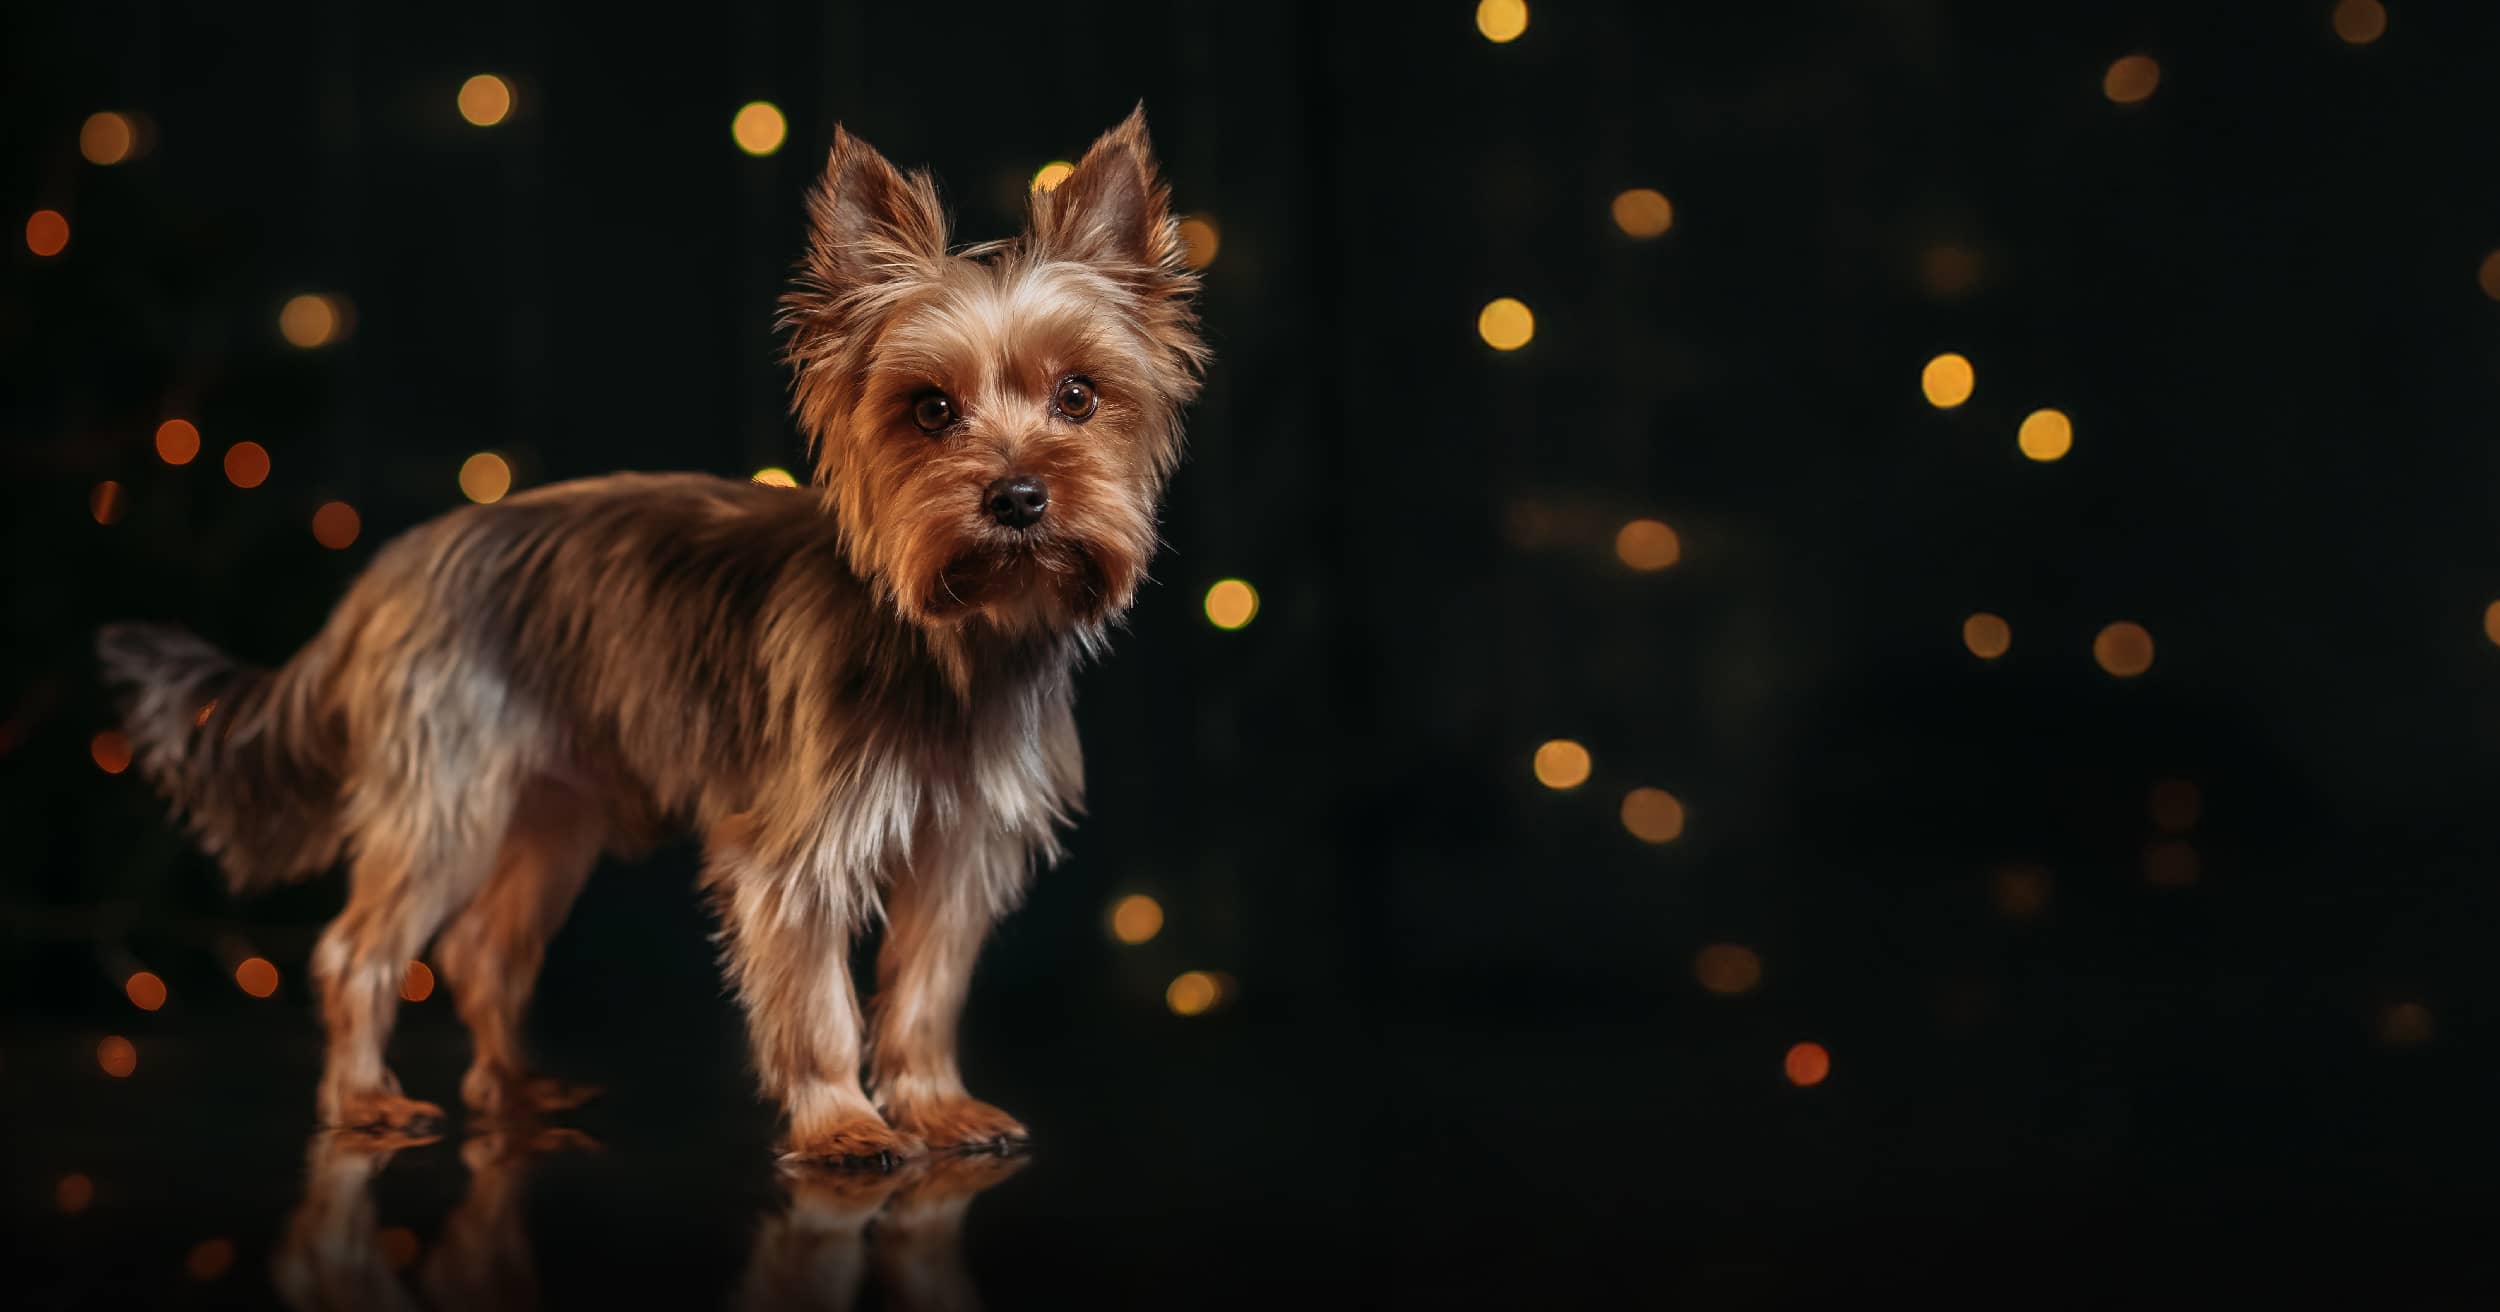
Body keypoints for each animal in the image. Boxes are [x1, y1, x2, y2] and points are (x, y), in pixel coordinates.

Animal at [102, 107, 1215, 1159]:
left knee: (482, 950)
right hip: (446, 794)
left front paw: (935, 1107)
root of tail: (387, 571)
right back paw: (364, 1100)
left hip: (554, 809)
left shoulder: (963, 847)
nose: (1018, 497)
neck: (957, 641)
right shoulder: (795, 851)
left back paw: (511, 1089)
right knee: (358, 948)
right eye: (930, 409)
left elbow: (926, 989)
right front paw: (843, 1126)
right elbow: (818, 1000)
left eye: (1079, 394)